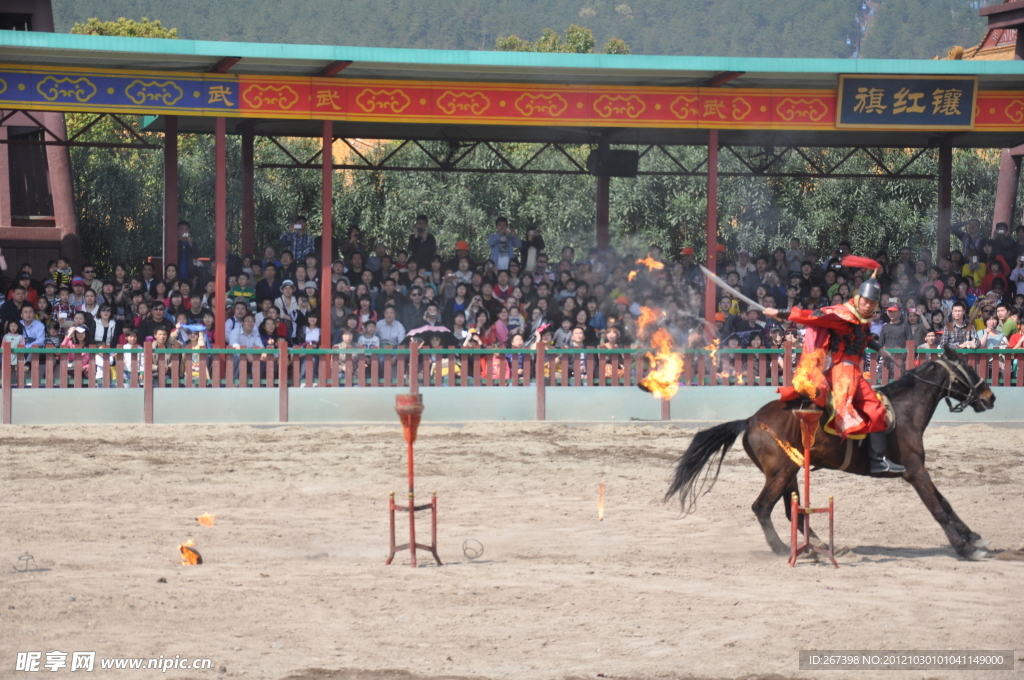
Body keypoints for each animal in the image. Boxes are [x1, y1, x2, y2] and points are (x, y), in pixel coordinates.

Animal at [667, 348, 995, 561]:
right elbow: (937, 508)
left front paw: (972, 536)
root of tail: (750, 420)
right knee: (762, 508)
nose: (990, 397)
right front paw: (965, 548)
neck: (905, 410)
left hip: (790, 473)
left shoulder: (919, 471)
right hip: (782, 473)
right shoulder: (915, 472)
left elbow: (945, 502)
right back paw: (782, 549)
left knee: (793, 512)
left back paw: (819, 546)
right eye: (968, 368)